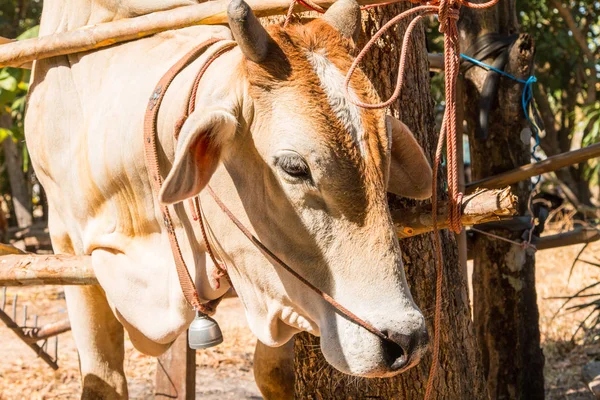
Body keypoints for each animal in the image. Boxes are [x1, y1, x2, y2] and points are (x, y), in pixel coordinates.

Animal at [25, 0, 432, 396]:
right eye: (294, 167)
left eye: (385, 156)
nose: (406, 340)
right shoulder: (68, 250)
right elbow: (102, 381)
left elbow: (273, 373)